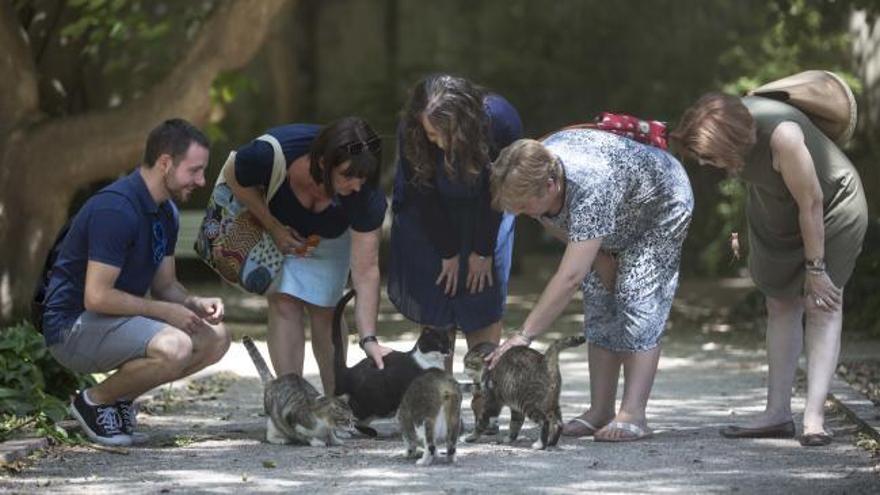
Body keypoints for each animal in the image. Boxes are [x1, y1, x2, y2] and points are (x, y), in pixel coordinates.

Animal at [332, 290, 450, 438]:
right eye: (439, 344)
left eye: (449, 343)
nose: (449, 351)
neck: (430, 362)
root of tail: (349, 371)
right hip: (373, 403)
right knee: (349, 413)